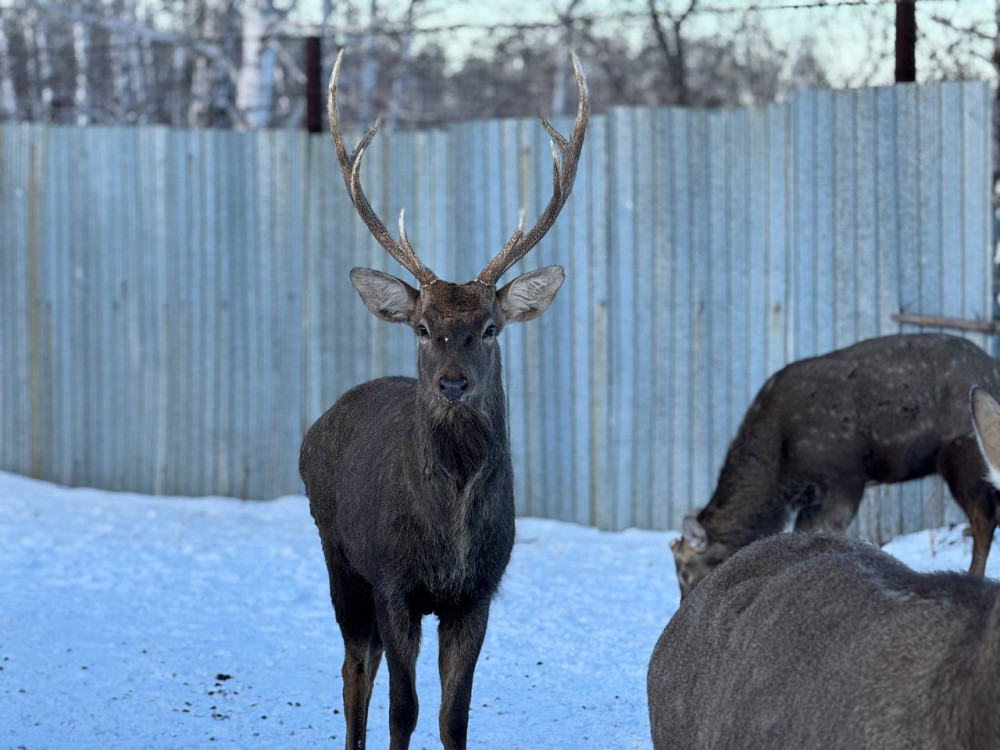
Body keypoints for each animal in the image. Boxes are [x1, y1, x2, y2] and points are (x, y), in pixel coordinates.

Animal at [296, 53, 588, 750]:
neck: (447, 535)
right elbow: (403, 709)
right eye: (423, 327)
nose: (452, 382)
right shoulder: (393, 581)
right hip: (337, 553)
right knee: (354, 669)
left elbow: (454, 716)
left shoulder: (477, 593)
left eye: (491, 327)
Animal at [668, 334, 1000, 600]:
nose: (684, 608)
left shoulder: (845, 473)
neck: (780, 467)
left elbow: (833, 529)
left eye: (685, 573)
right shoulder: (812, 496)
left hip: (963, 451)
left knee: (984, 518)